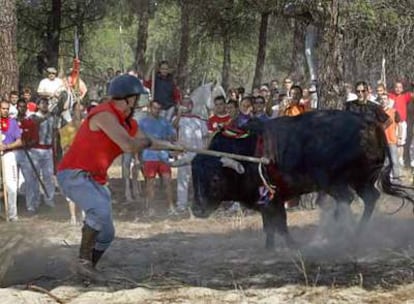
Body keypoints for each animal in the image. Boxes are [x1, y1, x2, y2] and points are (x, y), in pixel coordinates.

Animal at [191, 110, 414, 248]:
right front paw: (269, 247)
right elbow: (270, 226)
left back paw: (342, 231)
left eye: (214, 179)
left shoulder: (272, 200)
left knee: (347, 200)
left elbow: (279, 225)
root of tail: (370, 124)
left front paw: (292, 245)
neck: (247, 153)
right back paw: (356, 231)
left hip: (334, 181)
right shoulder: (269, 201)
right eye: (194, 178)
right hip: (361, 180)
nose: (197, 209)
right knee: (370, 198)